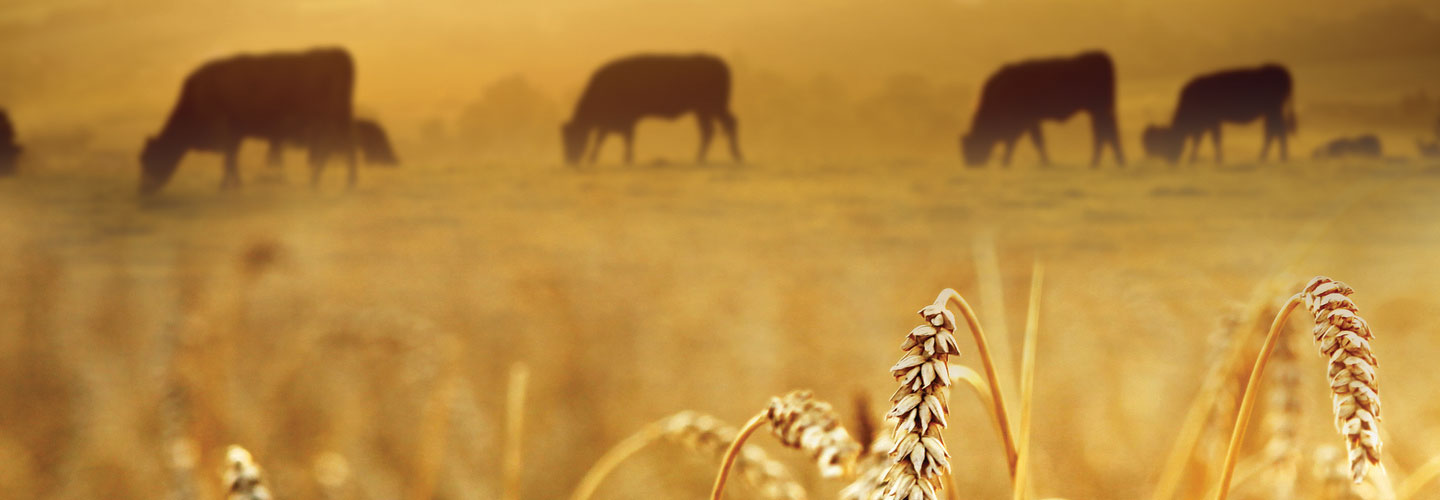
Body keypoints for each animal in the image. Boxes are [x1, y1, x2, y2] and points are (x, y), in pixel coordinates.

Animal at [138, 47, 358, 194]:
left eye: (150, 158)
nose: (143, 192)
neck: (196, 97)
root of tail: (338, 53)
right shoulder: (236, 135)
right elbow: (232, 159)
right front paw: (234, 184)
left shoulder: (226, 134)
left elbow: (228, 160)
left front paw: (225, 186)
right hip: (333, 122)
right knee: (332, 150)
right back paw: (319, 183)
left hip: (331, 121)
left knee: (340, 148)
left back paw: (341, 184)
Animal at [561, 54, 743, 166]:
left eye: (574, 136)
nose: (570, 160)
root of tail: (720, 64)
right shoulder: (612, 124)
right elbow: (602, 139)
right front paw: (594, 159)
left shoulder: (626, 120)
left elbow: (624, 138)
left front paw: (627, 159)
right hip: (703, 110)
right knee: (710, 130)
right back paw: (701, 159)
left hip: (713, 107)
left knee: (727, 124)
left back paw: (735, 156)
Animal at [961, 51, 1128, 168]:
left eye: (972, 144)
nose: (971, 164)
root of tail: (1101, 56)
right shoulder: (1031, 121)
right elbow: (1033, 140)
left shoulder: (1025, 121)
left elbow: (1023, 141)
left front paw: (1006, 162)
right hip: (1098, 111)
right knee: (1106, 132)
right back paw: (1111, 161)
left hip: (1098, 110)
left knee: (1104, 133)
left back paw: (1098, 162)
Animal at [1140, 64, 1301, 164]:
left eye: (1168, 141)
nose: (1171, 161)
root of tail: (1280, 70)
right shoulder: (1208, 124)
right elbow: (1202, 140)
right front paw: (1194, 160)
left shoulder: (1212, 122)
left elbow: (1213, 140)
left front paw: (1216, 160)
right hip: (1271, 112)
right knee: (1275, 132)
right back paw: (1274, 158)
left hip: (1273, 111)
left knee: (1276, 132)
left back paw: (1273, 158)